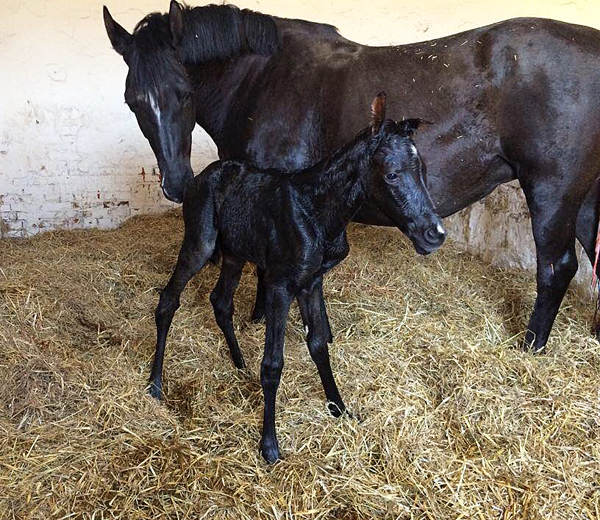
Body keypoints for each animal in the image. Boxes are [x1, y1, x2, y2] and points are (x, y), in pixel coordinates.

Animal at [148, 91, 442, 462]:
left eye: (423, 170)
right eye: (391, 174)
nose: (435, 234)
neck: (316, 213)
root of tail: (199, 178)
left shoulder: (311, 282)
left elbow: (318, 344)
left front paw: (339, 408)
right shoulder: (279, 286)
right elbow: (273, 363)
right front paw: (270, 445)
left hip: (235, 254)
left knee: (221, 302)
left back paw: (239, 364)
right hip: (200, 243)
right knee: (168, 300)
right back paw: (155, 384)